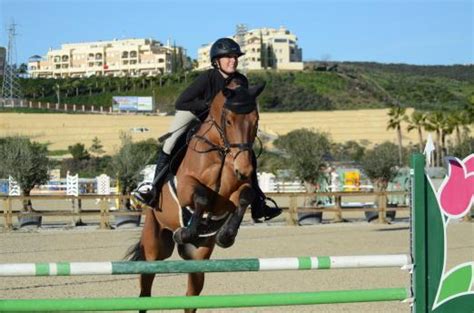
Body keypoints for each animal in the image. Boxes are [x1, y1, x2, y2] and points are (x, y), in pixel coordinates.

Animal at [128, 81, 264, 312]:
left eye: (255, 121)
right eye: (229, 120)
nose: (244, 169)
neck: (221, 149)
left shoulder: (235, 191)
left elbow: (245, 196)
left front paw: (225, 236)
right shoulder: (186, 187)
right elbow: (201, 197)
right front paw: (186, 232)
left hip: (198, 258)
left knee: (191, 297)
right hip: (154, 248)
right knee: (145, 290)